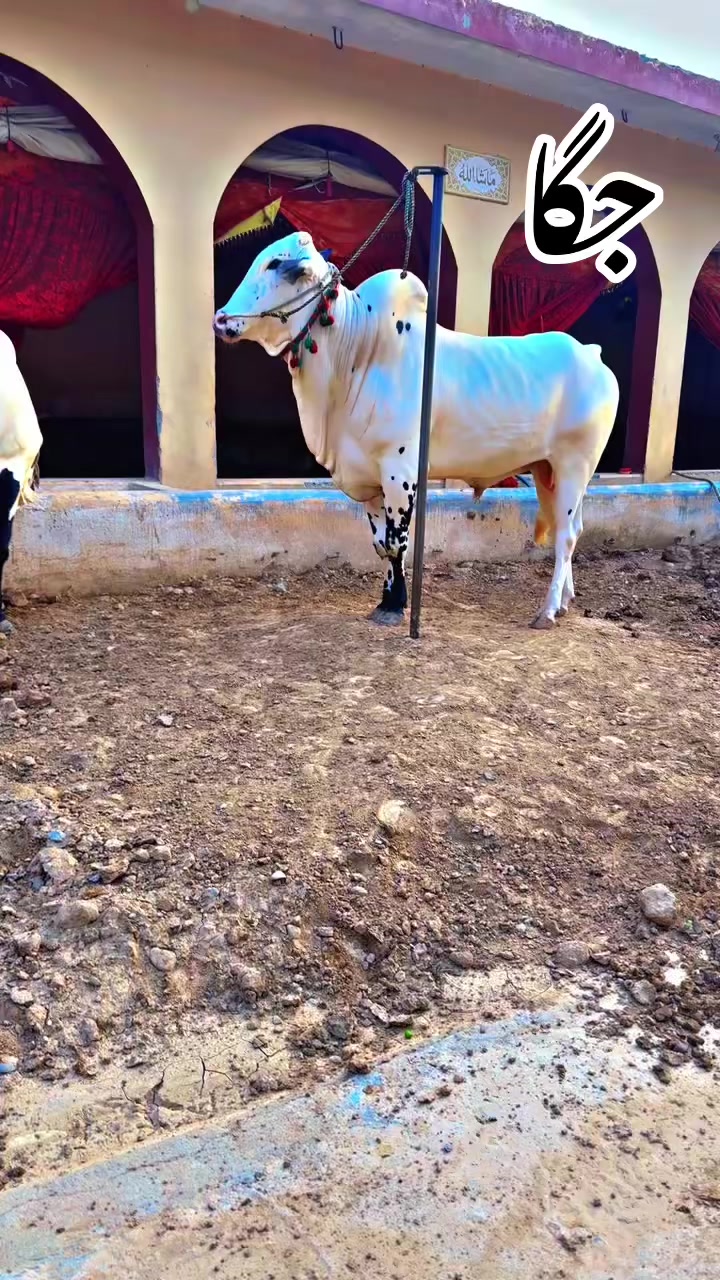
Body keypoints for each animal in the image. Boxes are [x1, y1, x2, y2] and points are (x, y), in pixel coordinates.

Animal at [213, 231, 619, 629]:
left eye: (275, 263)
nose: (220, 318)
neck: (357, 350)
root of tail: (592, 353)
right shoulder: (369, 479)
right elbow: (380, 545)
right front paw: (386, 600)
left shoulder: (399, 471)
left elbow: (397, 543)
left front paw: (396, 604)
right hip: (545, 471)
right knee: (571, 529)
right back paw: (564, 601)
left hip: (574, 466)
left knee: (566, 536)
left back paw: (547, 610)